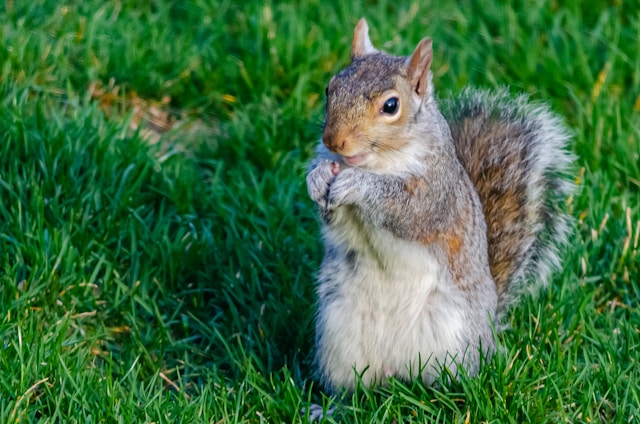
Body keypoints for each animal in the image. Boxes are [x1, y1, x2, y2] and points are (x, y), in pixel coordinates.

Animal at [306, 18, 574, 394]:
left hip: (454, 337)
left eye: (391, 106)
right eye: (331, 88)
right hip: (338, 334)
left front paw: (357, 184)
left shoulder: (436, 192)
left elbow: (406, 209)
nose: (333, 141)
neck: (377, 163)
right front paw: (316, 179)